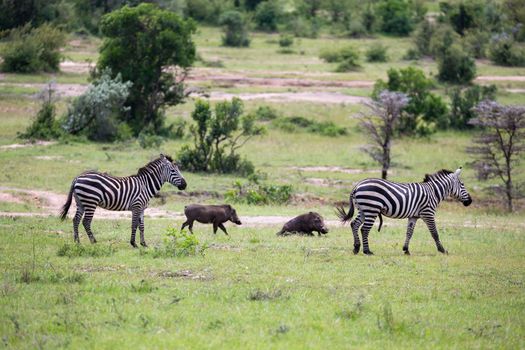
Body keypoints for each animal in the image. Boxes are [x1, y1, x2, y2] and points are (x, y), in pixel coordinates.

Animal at [338, 168, 472, 256]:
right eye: (462, 184)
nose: (470, 201)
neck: (433, 192)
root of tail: (357, 185)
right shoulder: (428, 213)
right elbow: (434, 233)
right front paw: (442, 250)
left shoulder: (413, 216)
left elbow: (409, 233)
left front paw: (406, 250)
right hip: (372, 209)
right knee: (364, 229)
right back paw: (367, 251)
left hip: (363, 209)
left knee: (354, 224)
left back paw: (356, 248)